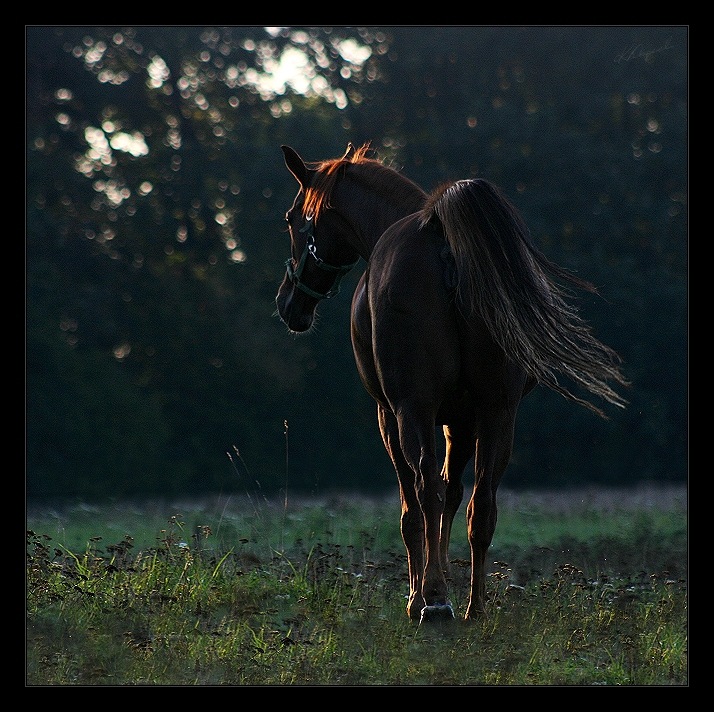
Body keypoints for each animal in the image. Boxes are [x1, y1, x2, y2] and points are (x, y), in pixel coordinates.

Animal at [272, 142, 624, 620]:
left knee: (426, 492)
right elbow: (455, 494)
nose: (287, 303)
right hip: (498, 413)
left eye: (292, 218)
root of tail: (445, 243)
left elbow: (415, 506)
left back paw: (434, 602)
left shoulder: (391, 414)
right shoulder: (463, 418)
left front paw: (418, 593)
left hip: (414, 410)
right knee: (482, 505)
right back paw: (475, 607)